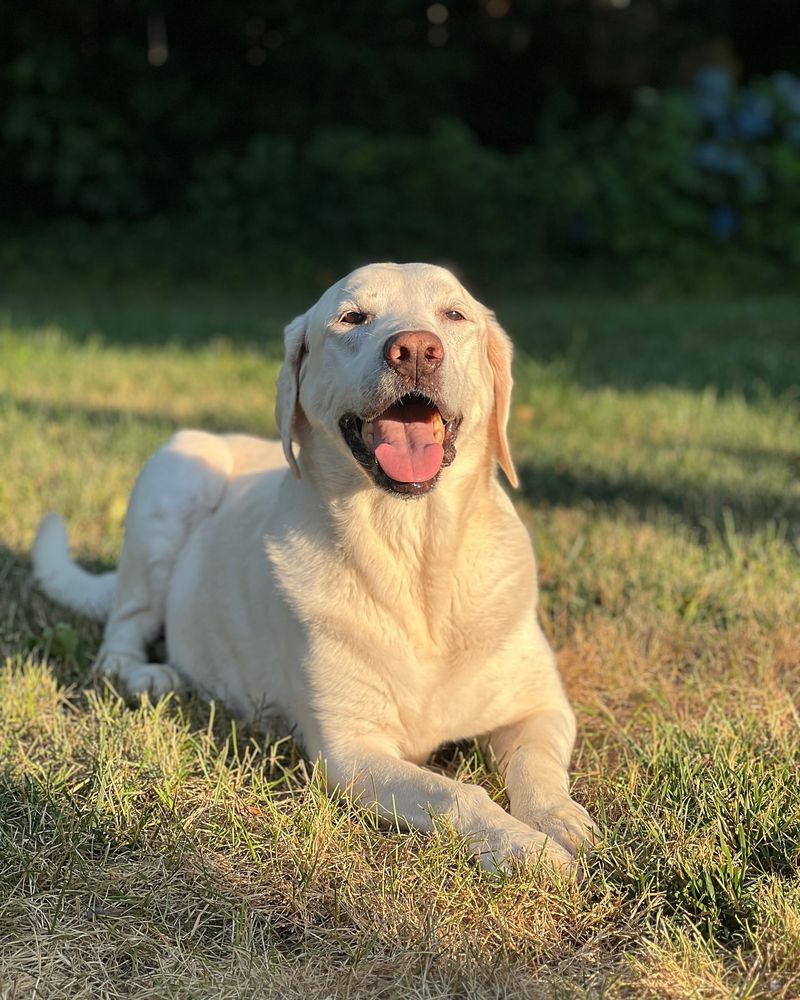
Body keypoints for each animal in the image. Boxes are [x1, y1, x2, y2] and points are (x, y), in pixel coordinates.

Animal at [31, 262, 596, 872]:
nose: (415, 350)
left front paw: (557, 820)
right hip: (177, 474)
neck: (415, 550)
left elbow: (537, 766)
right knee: (120, 635)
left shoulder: (541, 706)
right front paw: (525, 847)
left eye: (454, 314)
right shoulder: (349, 751)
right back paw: (149, 675)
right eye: (353, 318)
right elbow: (455, 793)